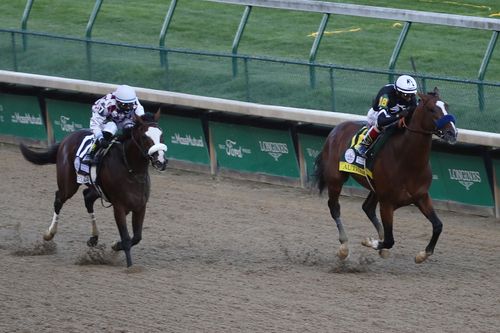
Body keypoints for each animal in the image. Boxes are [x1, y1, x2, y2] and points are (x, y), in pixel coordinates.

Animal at [19, 110, 168, 266]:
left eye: (161, 134)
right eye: (145, 137)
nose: (161, 161)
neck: (131, 170)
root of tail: (67, 138)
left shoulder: (140, 206)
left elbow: (137, 237)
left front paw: (116, 245)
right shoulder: (119, 207)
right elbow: (127, 238)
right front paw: (130, 266)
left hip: (96, 188)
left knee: (87, 197)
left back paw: (94, 237)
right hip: (68, 185)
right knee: (59, 199)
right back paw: (49, 233)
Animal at [314, 87, 458, 262]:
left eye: (447, 106)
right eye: (431, 109)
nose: (452, 133)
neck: (407, 161)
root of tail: (336, 129)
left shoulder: (421, 196)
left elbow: (438, 226)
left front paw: (422, 254)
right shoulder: (387, 203)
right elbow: (390, 240)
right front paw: (371, 242)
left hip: (375, 188)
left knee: (367, 207)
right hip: (336, 179)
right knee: (334, 207)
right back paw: (344, 247)